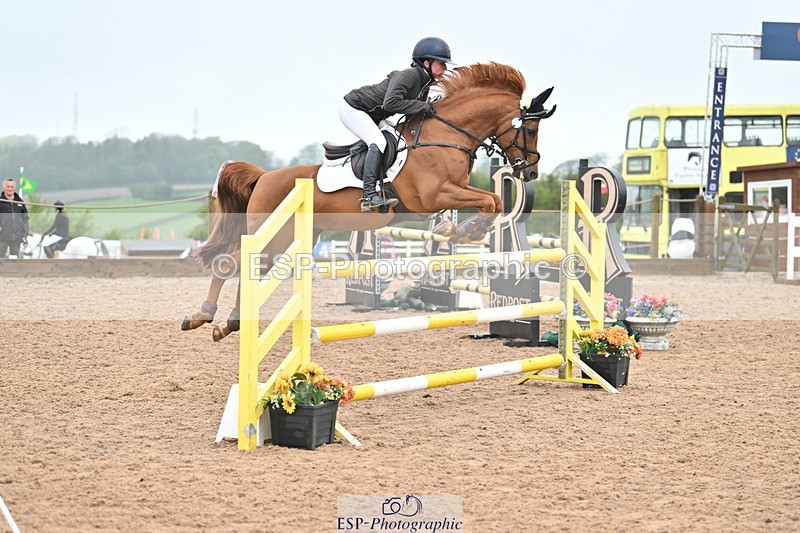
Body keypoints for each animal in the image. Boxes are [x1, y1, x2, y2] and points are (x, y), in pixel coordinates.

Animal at [182, 62, 556, 341]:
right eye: (531, 130)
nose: (530, 171)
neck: (446, 134)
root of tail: (263, 177)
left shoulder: (450, 192)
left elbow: (492, 201)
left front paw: (463, 230)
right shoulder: (433, 195)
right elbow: (490, 202)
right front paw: (461, 230)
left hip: (289, 240)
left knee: (248, 269)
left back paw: (229, 322)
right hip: (274, 236)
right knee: (231, 264)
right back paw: (202, 317)